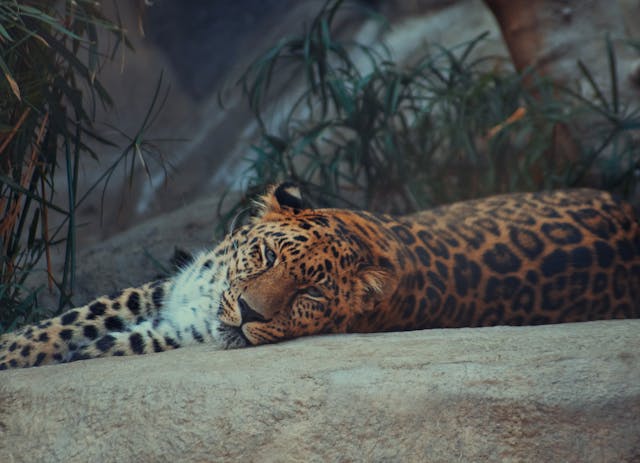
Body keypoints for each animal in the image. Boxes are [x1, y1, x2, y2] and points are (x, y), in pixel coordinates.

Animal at [1, 182, 639, 370]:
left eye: (309, 294)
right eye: (265, 258)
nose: (250, 313)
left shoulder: (181, 327)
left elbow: (114, 340)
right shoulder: (167, 287)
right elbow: (69, 320)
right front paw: (14, 347)